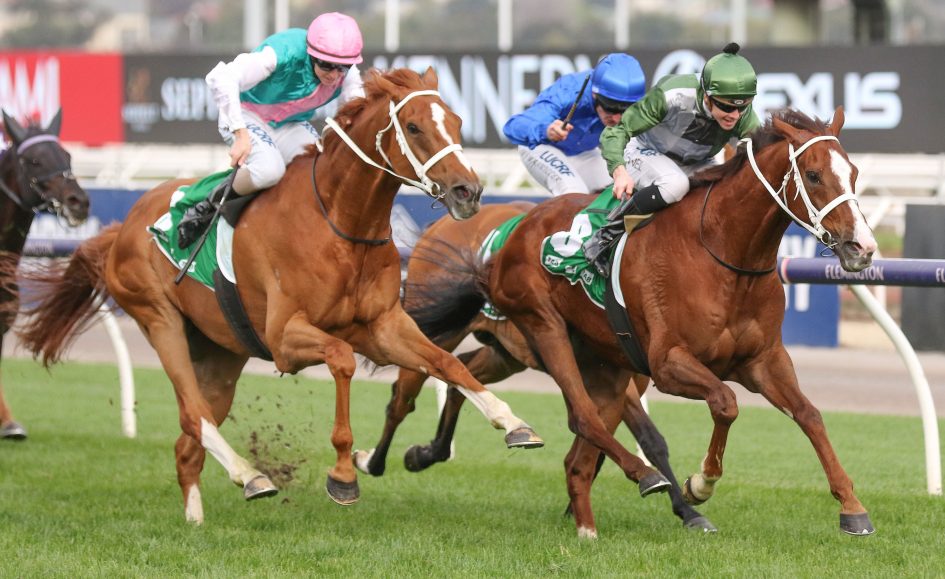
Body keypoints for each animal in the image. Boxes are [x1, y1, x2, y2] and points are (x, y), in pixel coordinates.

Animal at [16, 67, 543, 523]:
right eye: (413, 127)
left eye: (455, 122)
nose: (469, 191)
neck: (341, 223)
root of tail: (121, 225)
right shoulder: (286, 338)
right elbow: (342, 360)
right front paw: (344, 474)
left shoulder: (382, 326)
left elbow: (446, 362)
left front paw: (515, 422)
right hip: (158, 318)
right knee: (194, 414)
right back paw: (250, 474)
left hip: (220, 351)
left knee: (189, 439)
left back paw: (199, 515)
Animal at [355, 107, 879, 537]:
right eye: (813, 174)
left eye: (853, 172)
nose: (863, 248)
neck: (724, 255)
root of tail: (507, 237)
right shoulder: (666, 364)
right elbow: (721, 406)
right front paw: (698, 486)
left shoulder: (763, 360)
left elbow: (809, 415)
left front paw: (852, 508)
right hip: (524, 327)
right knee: (417, 391)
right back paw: (374, 460)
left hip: (543, 354)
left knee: (485, 386)